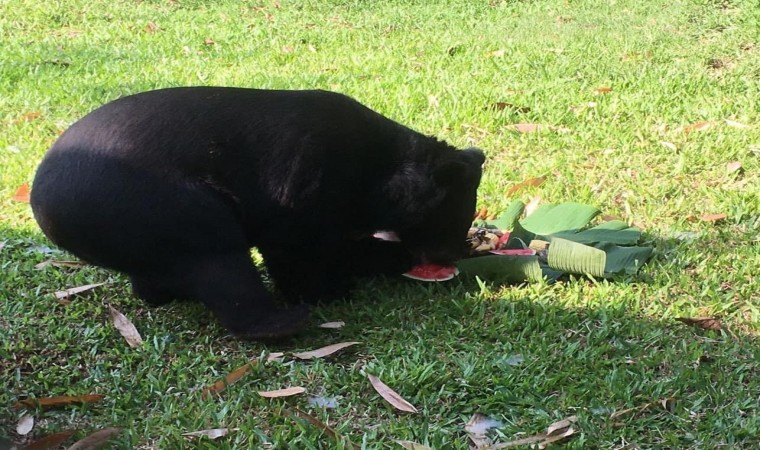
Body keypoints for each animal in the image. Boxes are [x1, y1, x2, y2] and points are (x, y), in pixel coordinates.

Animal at [32, 88, 484, 340]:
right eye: (452, 219)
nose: (450, 256)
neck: (381, 170)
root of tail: (43, 200)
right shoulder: (305, 190)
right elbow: (301, 250)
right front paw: (334, 289)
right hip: (160, 202)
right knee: (219, 259)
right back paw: (282, 323)